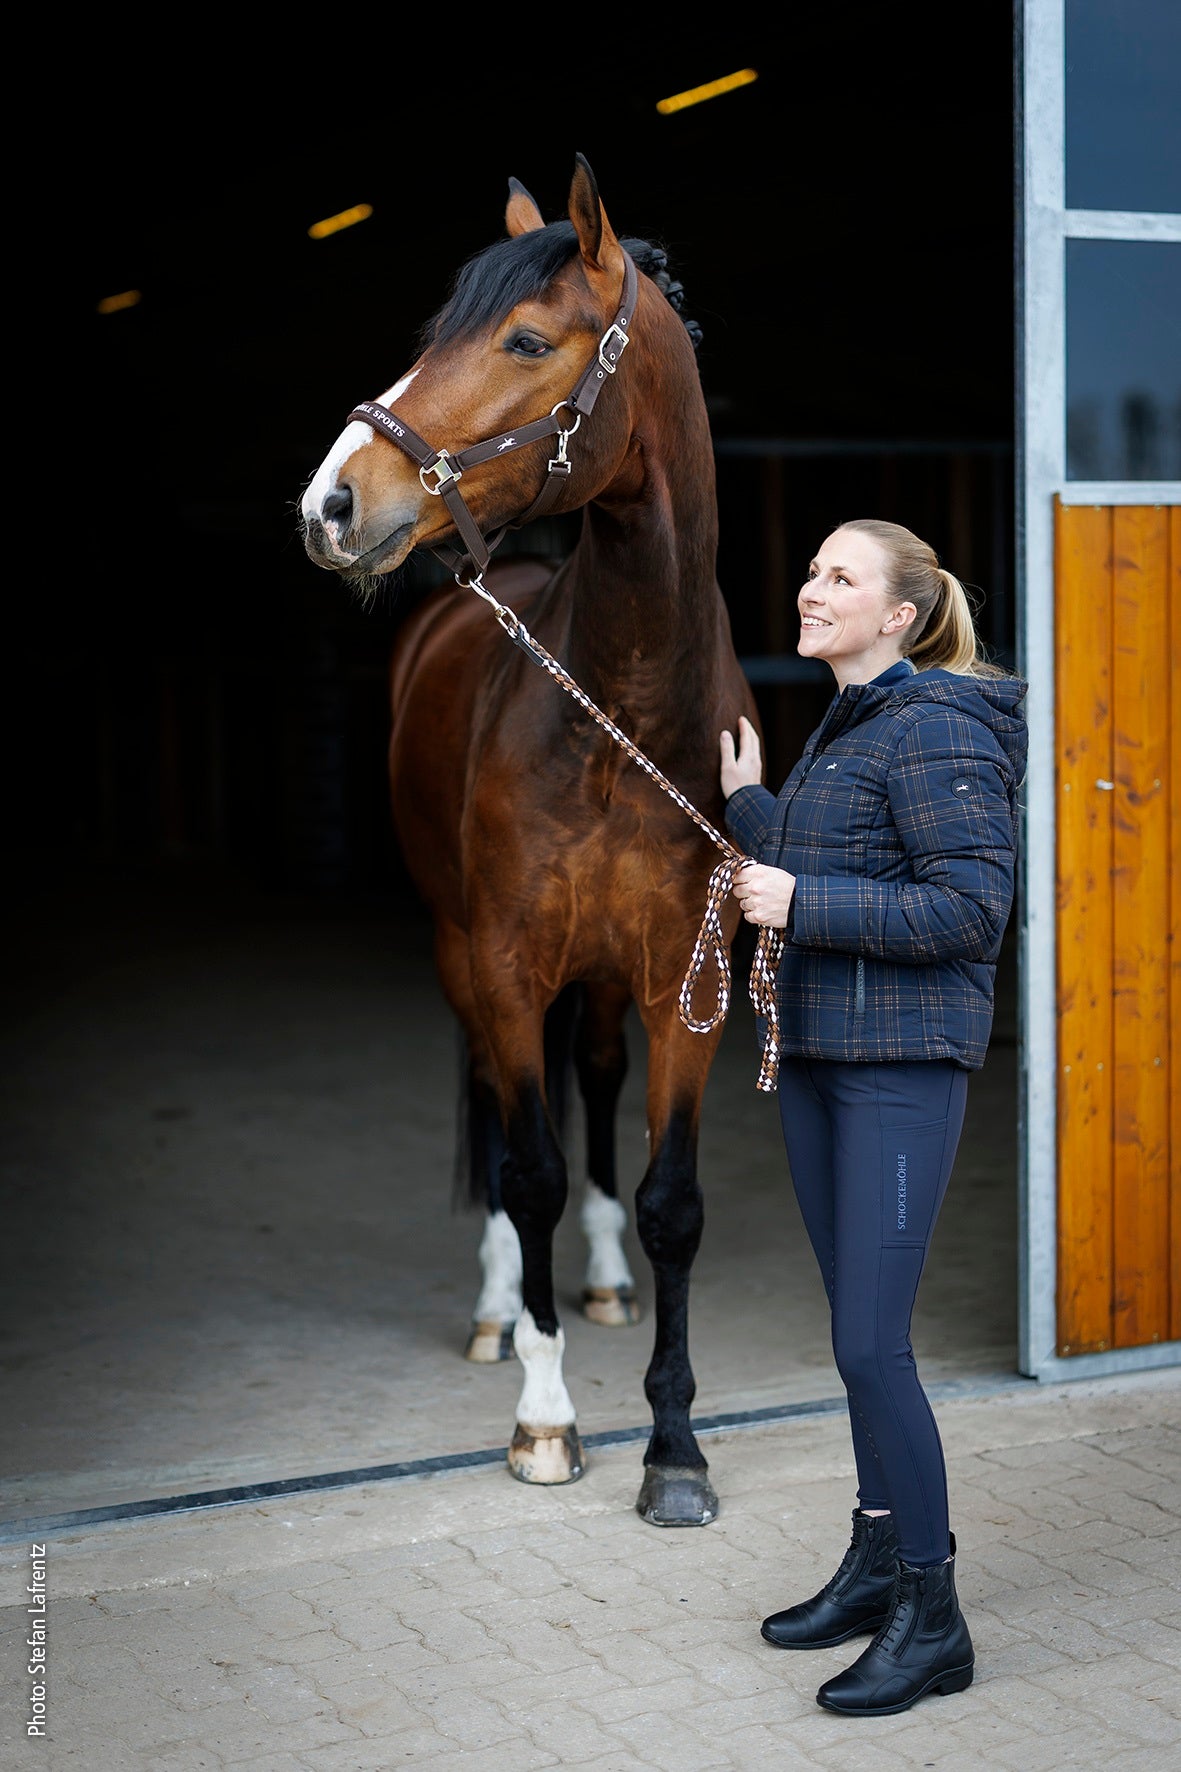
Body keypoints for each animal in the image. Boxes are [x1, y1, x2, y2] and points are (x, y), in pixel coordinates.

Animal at [300, 155, 762, 1526]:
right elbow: (529, 1171)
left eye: (522, 339)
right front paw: (546, 1416)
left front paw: (675, 1446)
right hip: (464, 957)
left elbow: (670, 1199)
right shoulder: (505, 964)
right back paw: (503, 1306)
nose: (332, 501)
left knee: (592, 1079)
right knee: (506, 1125)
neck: (624, 705)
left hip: (601, 979)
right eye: (431, 332)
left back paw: (595, 1280)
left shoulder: (684, 981)